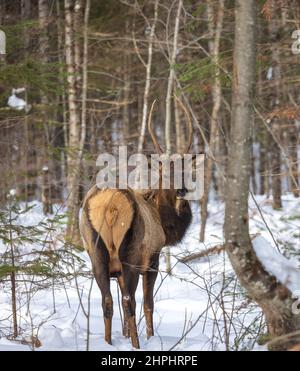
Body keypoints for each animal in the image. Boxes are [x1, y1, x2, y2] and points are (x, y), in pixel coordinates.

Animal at [78, 98, 193, 348]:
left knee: (108, 300)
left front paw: (125, 335)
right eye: (164, 173)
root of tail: (110, 205)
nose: (182, 191)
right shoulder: (151, 260)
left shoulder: (117, 271)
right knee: (130, 300)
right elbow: (149, 303)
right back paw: (137, 344)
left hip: (96, 252)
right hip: (129, 252)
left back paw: (108, 342)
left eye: (185, 171)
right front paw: (149, 336)